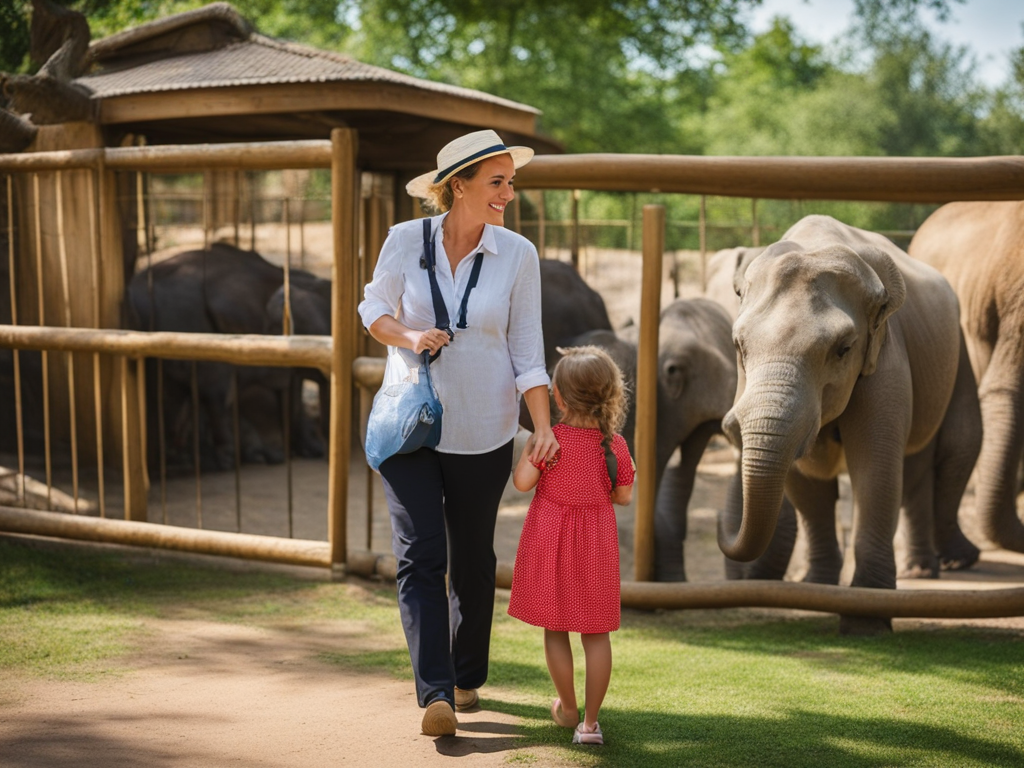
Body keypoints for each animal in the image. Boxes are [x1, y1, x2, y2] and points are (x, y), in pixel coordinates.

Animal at [724, 214, 978, 634]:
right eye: (738, 346)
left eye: (843, 349)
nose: (728, 425)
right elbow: (806, 482)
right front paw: (818, 590)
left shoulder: (885, 358)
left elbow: (875, 471)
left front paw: (866, 621)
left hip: (958, 353)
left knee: (948, 449)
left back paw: (939, 567)